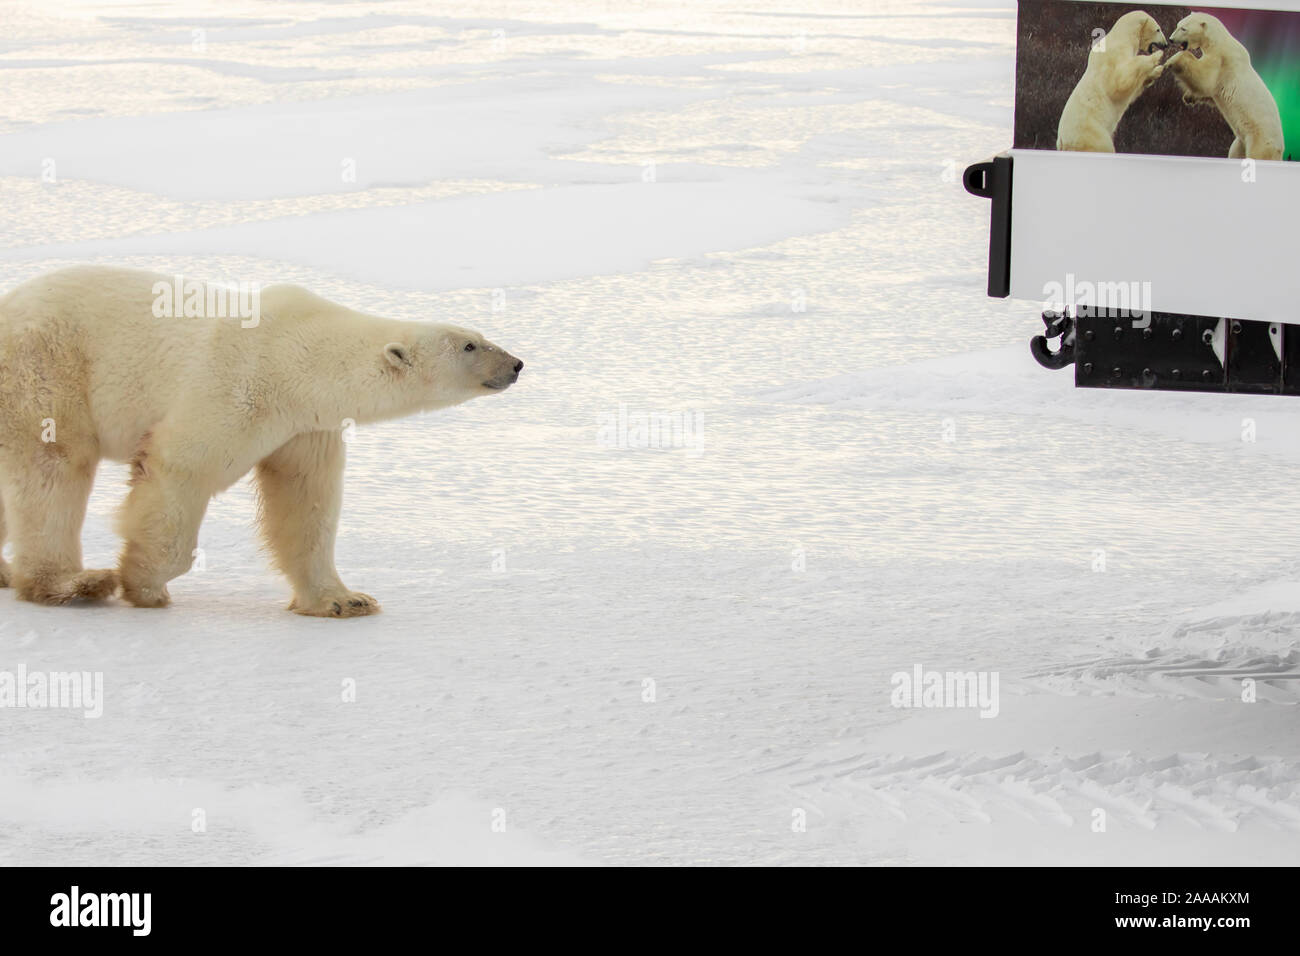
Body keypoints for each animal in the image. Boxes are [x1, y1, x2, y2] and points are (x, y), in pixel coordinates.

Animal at [0, 265, 522, 616]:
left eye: (479, 334)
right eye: (469, 345)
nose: (516, 364)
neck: (297, 357)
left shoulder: (303, 427)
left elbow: (305, 501)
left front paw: (345, 600)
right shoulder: (235, 387)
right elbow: (181, 468)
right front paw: (144, 586)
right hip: (46, 367)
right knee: (55, 466)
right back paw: (72, 583)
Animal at [1055, 10, 1170, 152]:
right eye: (1158, 29)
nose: (1165, 45)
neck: (1121, 39)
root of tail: (1062, 143)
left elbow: (1133, 90)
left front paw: (1157, 71)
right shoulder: (1112, 59)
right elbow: (1120, 83)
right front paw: (1157, 56)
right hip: (1092, 134)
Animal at [1164, 13, 1284, 159]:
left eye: (1184, 29)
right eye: (1178, 25)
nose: (1171, 39)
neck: (1219, 42)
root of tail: (1281, 149)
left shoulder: (1221, 60)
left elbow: (1205, 79)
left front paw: (1171, 61)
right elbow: (1209, 91)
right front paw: (1189, 97)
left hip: (1261, 141)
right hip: (1241, 142)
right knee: (1235, 152)